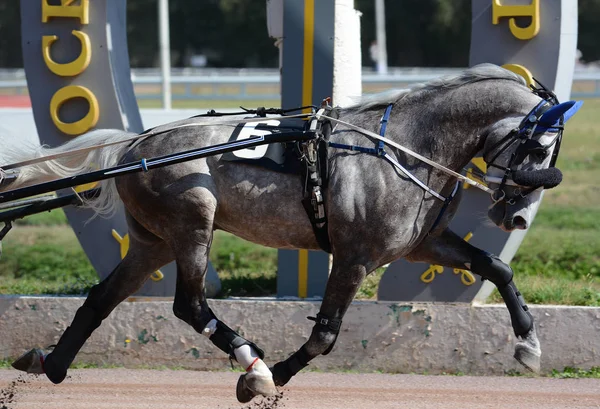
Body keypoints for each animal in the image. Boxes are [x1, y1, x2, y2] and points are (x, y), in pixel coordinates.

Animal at [0, 65, 580, 400]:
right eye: (537, 147)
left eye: (553, 152)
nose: (517, 218)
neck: (405, 146)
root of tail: (134, 145)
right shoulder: (355, 256)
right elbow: (324, 334)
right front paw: (273, 374)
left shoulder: (420, 244)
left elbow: (496, 266)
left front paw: (528, 343)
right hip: (192, 222)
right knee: (189, 305)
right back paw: (251, 362)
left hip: (152, 241)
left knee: (103, 297)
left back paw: (52, 364)